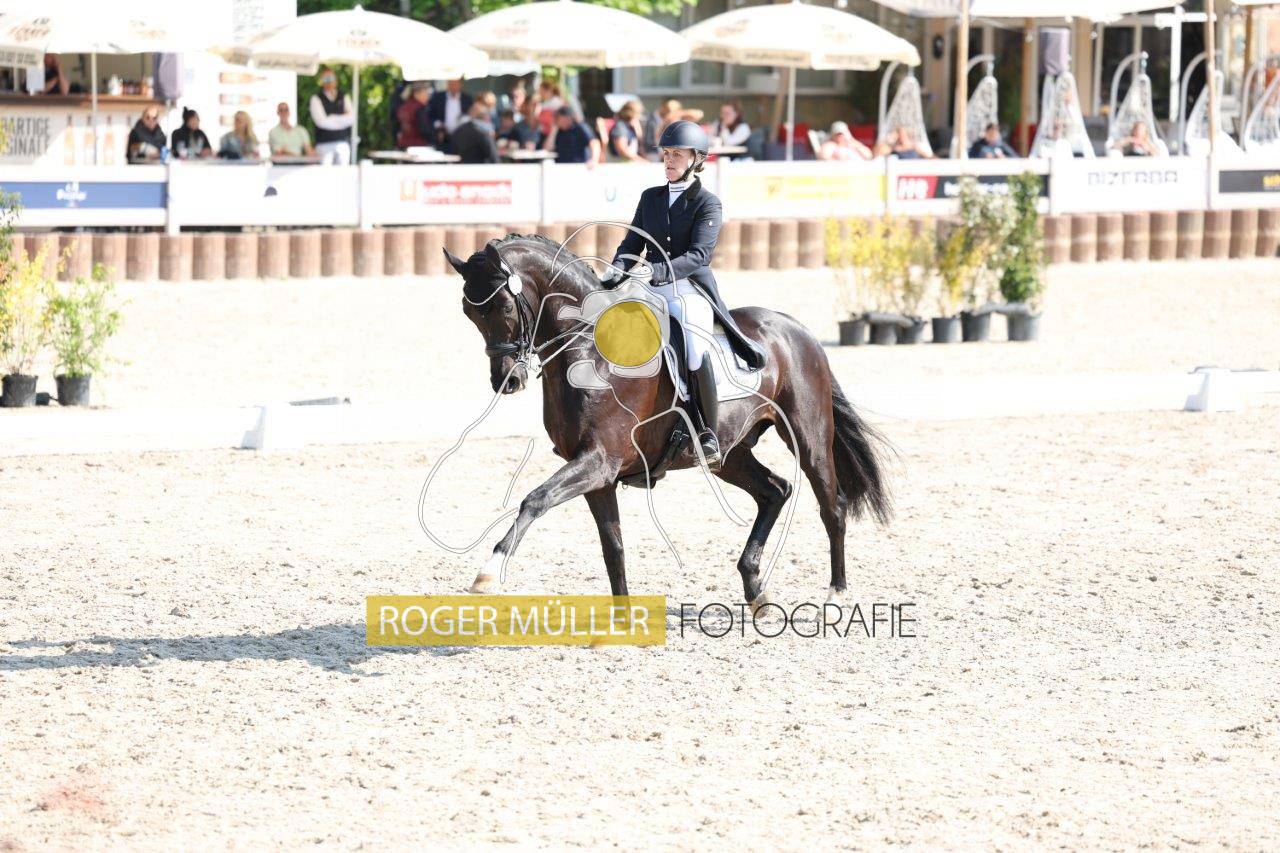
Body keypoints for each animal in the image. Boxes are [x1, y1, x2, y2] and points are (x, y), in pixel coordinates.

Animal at [442, 234, 891, 609]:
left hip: (808, 436)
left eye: (503, 305)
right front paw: (622, 620)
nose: (507, 380)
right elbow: (613, 547)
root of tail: (796, 329)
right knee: (775, 491)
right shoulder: (598, 474)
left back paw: (836, 592)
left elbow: (534, 499)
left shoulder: (598, 461)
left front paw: (488, 571)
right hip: (729, 455)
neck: (590, 351)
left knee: (831, 505)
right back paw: (755, 590)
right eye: (468, 312)